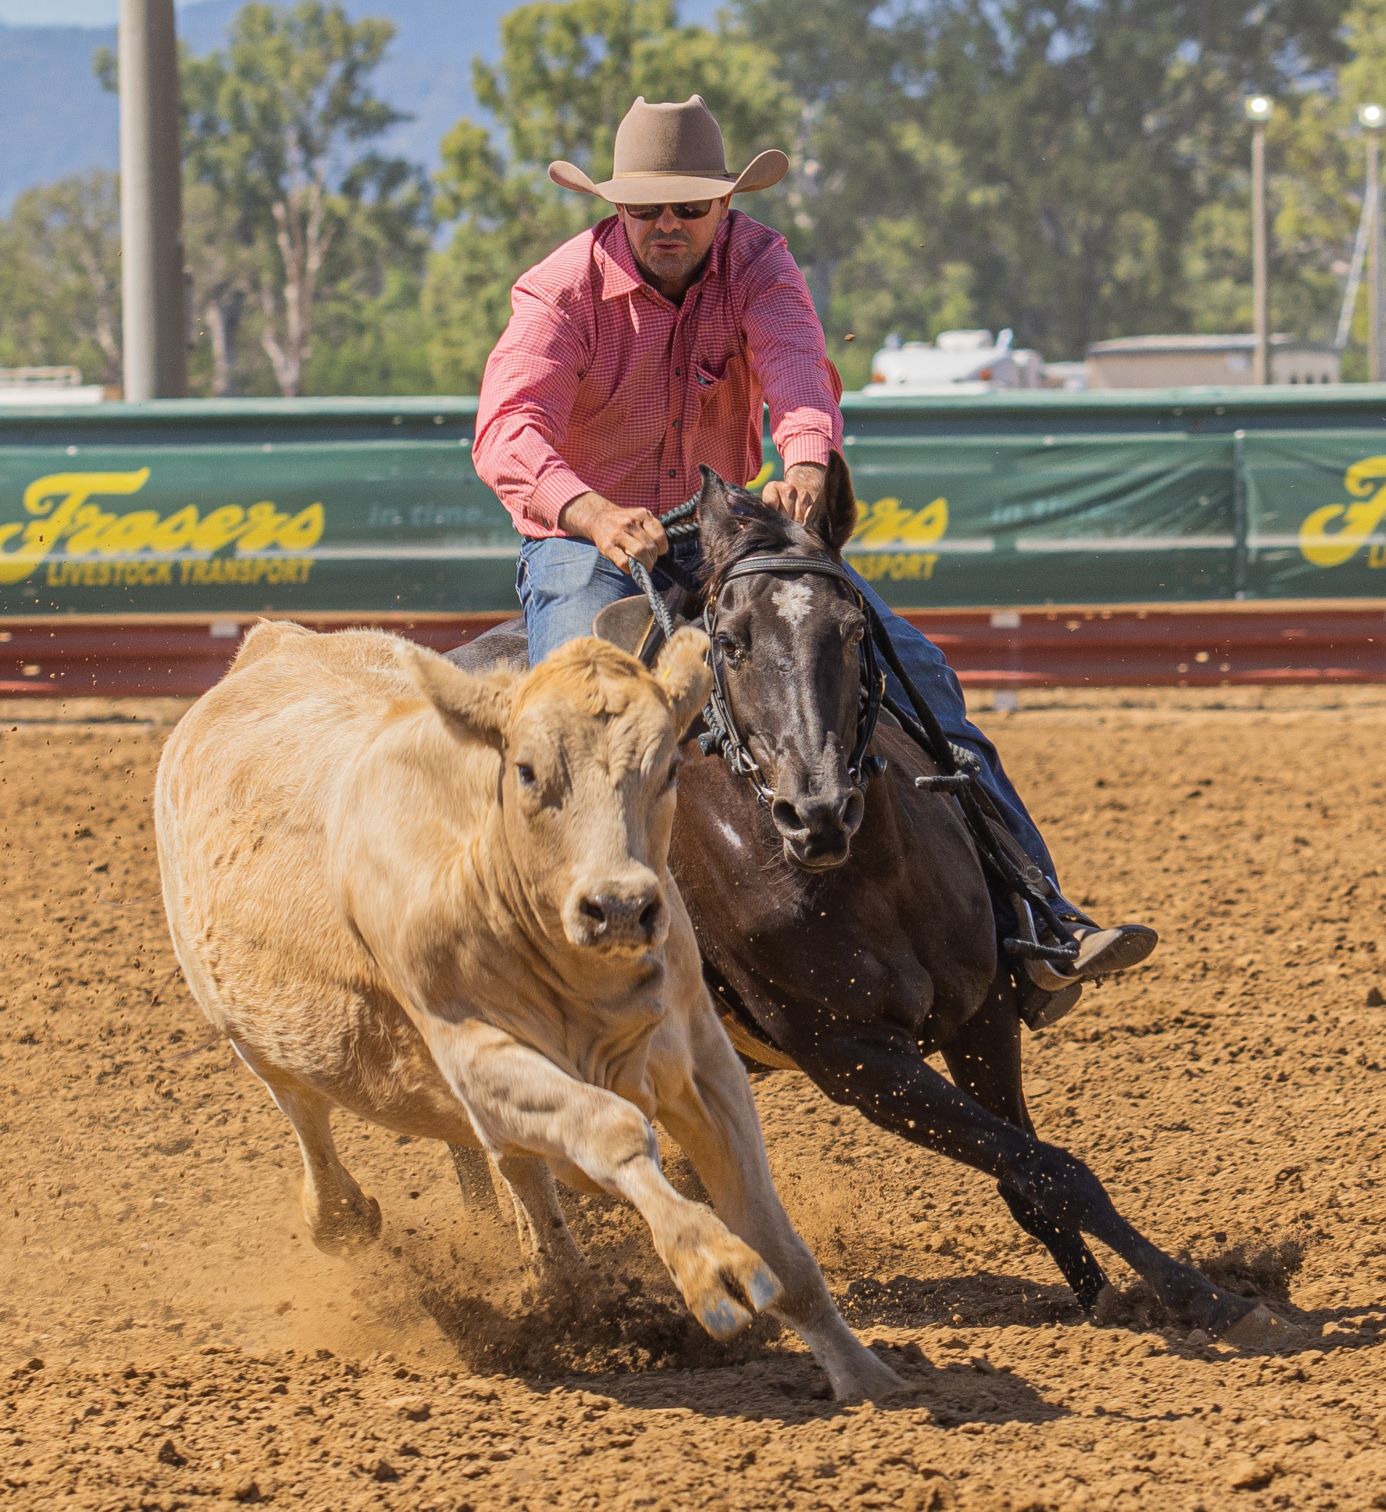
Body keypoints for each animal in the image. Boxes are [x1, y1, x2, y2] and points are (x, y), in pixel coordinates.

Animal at [154, 620, 902, 1402]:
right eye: (526, 771)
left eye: (668, 768)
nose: (620, 907)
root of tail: (277, 638)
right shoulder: (473, 1054)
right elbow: (613, 1131)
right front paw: (708, 1266)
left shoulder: (701, 1056)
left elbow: (774, 1238)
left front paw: (865, 1377)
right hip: (254, 1035)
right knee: (307, 1118)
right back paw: (349, 1217)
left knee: (519, 1169)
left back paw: (562, 1283)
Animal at [450, 453, 1281, 1348]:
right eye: (730, 644)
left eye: (851, 630)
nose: (814, 810)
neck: (865, 873)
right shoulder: (856, 1060)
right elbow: (1049, 1167)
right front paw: (1204, 1298)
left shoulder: (981, 1014)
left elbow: (1031, 1179)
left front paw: (1107, 1297)